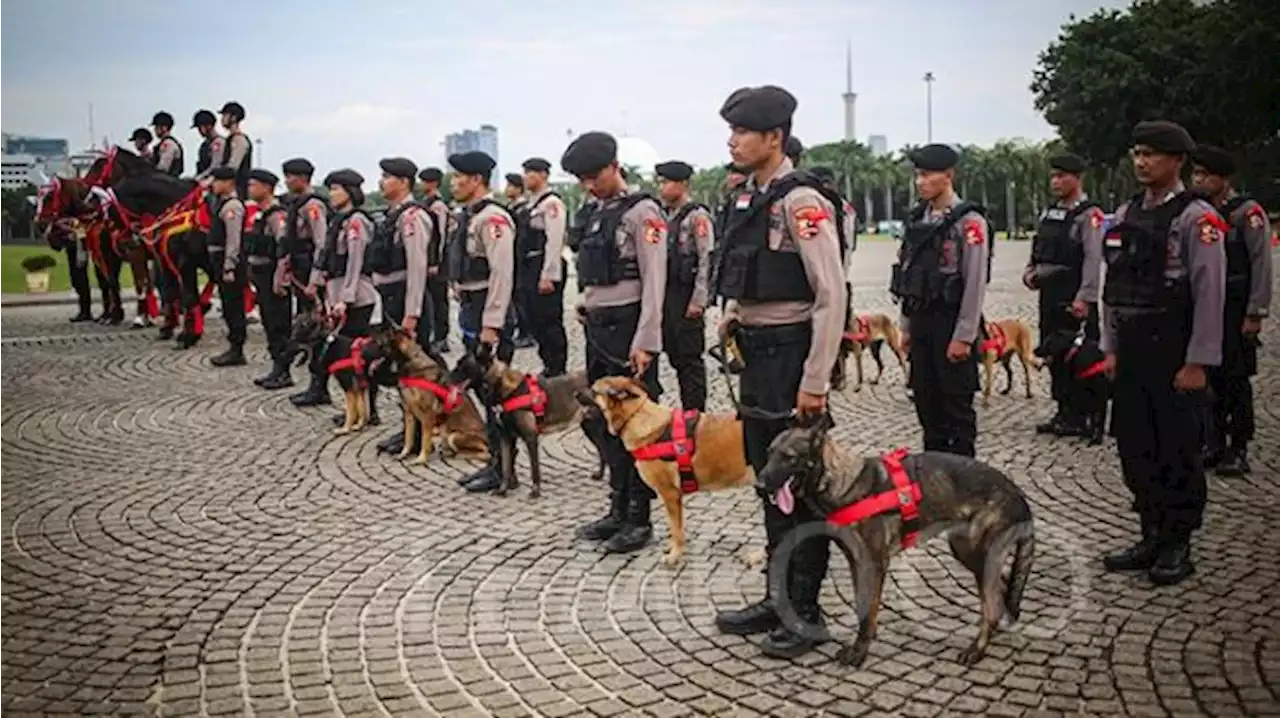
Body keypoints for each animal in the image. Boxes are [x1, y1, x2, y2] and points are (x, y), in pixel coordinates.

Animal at [373, 323, 491, 465]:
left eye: (378, 343)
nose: (362, 353)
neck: (412, 363)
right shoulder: (409, 414)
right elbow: (408, 439)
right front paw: (403, 455)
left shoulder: (427, 415)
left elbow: (425, 440)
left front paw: (421, 459)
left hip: (453, 436)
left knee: (485, 453)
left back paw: (459, 454)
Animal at [450, 345, 609, 496]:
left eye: (461, 365)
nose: (447, 380)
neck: (503, 386)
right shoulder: (505, 437)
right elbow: (506, 467)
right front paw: (503, 490)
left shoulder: (530, 436)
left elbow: (534, 468)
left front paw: (535, 491)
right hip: (589, 427)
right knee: (602, 450)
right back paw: (600, 475)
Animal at [591, 376, 757, 565]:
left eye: (593, 390)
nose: (575, 393)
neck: (637, 416)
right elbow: (676, 527)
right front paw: (674, 549)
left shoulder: (670, 494)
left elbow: (676, 529)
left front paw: (675, 555)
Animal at [752, 417, 1034, 670]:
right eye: (768, 453)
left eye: (788, 457)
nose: (759, 486)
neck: (843, 482)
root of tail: (1018, 494)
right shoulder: (857, 562)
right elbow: (862, 604)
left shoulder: (875, 563)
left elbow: (868, 609)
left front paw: (860, 653)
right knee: (999, 590)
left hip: (969, 548)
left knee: (992, 602)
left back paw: (977, 649)